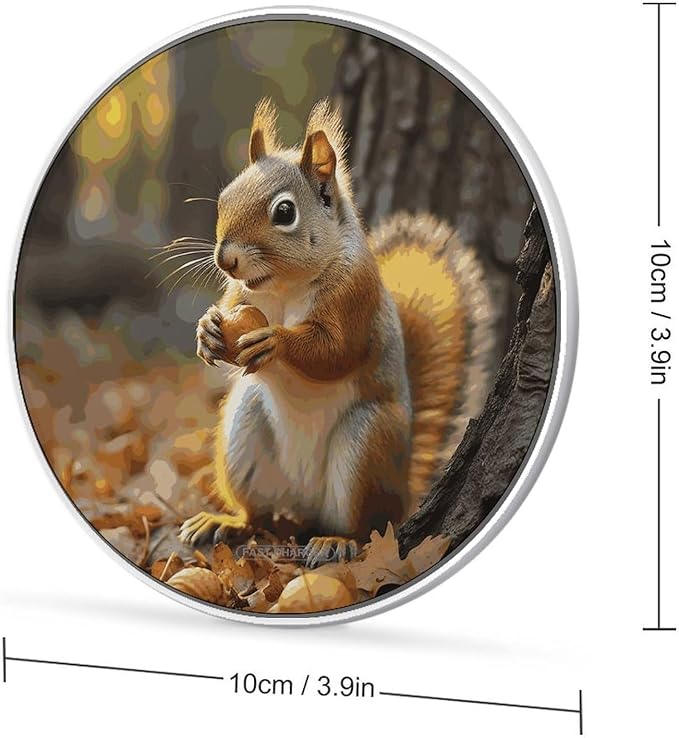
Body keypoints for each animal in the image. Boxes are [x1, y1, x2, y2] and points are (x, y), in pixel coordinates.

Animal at [178, 98, 494, 568]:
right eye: (224, 198)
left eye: (284, 212)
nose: (225, 259)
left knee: (367, 528)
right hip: (243, 430)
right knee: (258, 514)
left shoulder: (354, 296)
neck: (285, 285)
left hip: (365, 444)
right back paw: (226, 522)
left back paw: (336, 541)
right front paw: (208, 329)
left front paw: (276, 341)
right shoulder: (239, 292)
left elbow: (335, 351)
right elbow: (232, 309)